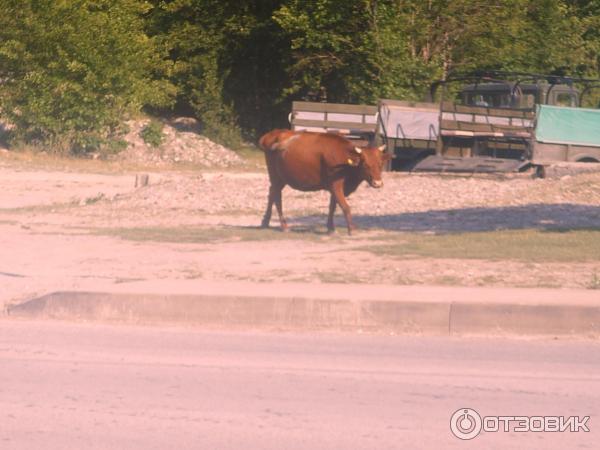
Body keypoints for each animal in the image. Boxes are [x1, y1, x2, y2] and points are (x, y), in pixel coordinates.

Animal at [256, 128, 390, 236]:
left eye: (380, 164)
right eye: (365, 165)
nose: (378, 183)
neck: (344, 159)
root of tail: (274, 133)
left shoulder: (334, 187)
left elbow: (332, 207)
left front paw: (331, 228)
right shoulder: (336, 185)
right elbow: (345, 207)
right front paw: (351, 229)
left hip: (281, 179)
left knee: (272, 194)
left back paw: (265, 222)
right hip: (276, 177)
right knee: (277, 197)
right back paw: (283, 226)